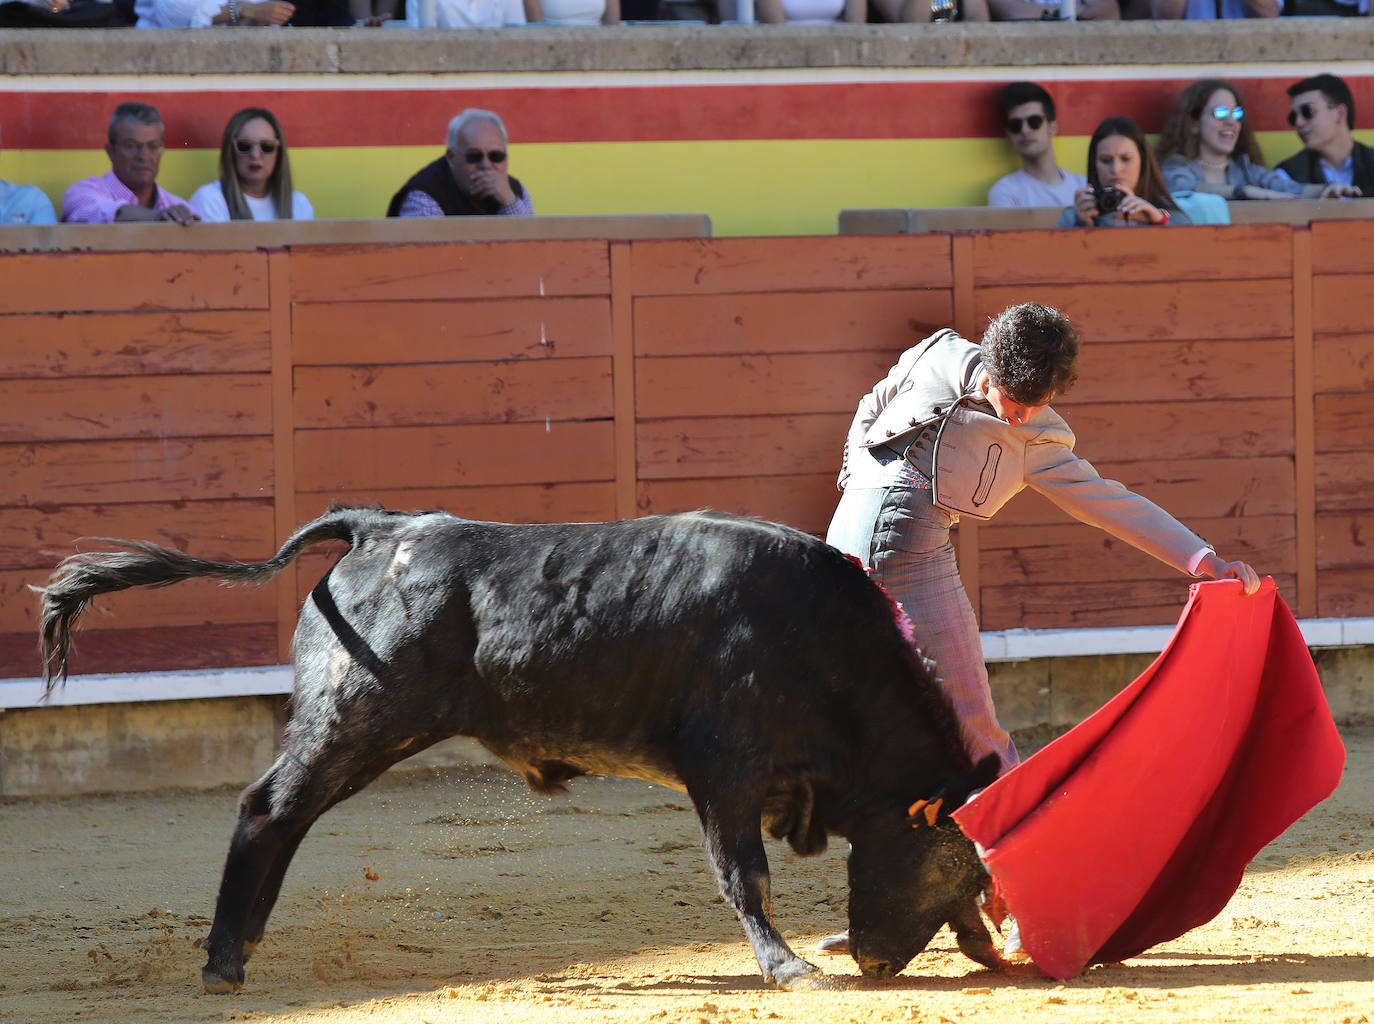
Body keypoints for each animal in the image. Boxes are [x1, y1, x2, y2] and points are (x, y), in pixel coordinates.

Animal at [32, 508, 1000, 995]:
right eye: (944, 858)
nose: (870, 958)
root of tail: (382, 528)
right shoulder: (725, 768)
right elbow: (743, 875)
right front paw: (789, 966)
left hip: (366, 728)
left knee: (287, 815)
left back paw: (242, 943)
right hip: (357, 716)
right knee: (268, 807)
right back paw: (224, 959)